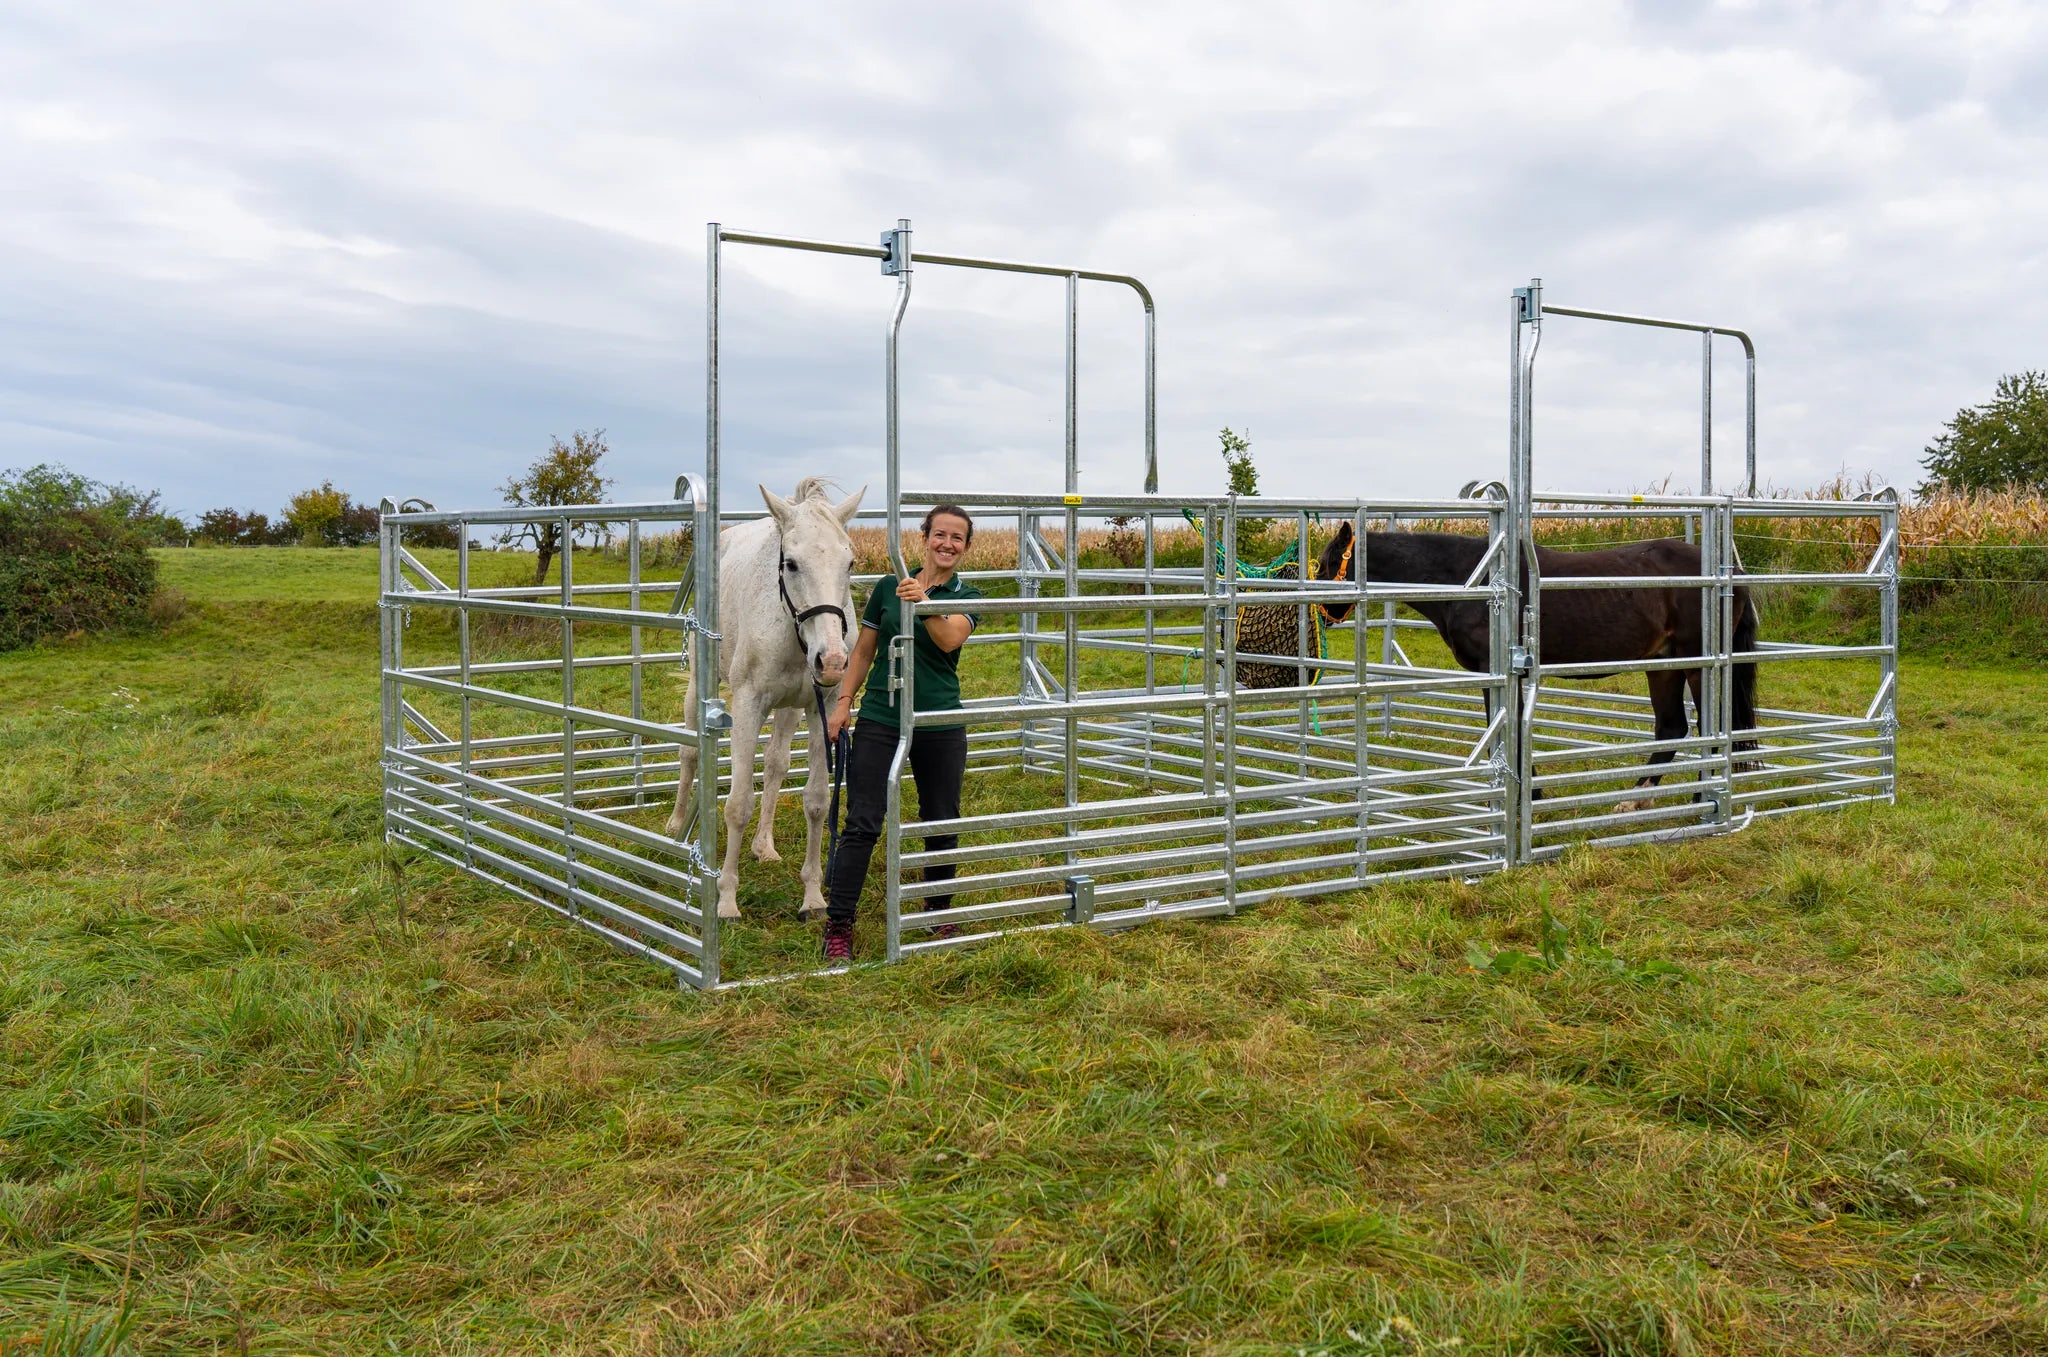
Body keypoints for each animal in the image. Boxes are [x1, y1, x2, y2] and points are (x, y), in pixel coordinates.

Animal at [666, 478, 865, 919]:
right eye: (790, 563)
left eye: (849, 563)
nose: (832, 661)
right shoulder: (748, 704)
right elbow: (738, 804)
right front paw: (726, 900)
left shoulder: (820, 709)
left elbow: (816, 801)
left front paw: (813, 897)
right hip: (698, 686)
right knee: (689, 752)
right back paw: (675, 824)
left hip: (790, 709)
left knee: (775, 765)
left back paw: (764, 846)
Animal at [1310, 522, 1757, 807]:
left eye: (1328, 565)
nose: (1317, 615)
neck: (1475, 582)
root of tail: (1731, 573)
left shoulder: (1496, 673)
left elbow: (1507, 736)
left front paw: (1528, 796)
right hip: (1664, 665)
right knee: (1672, 729)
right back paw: (1638, 800)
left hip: (1697, 663)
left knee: (1710, 728)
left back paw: (1699, 799)